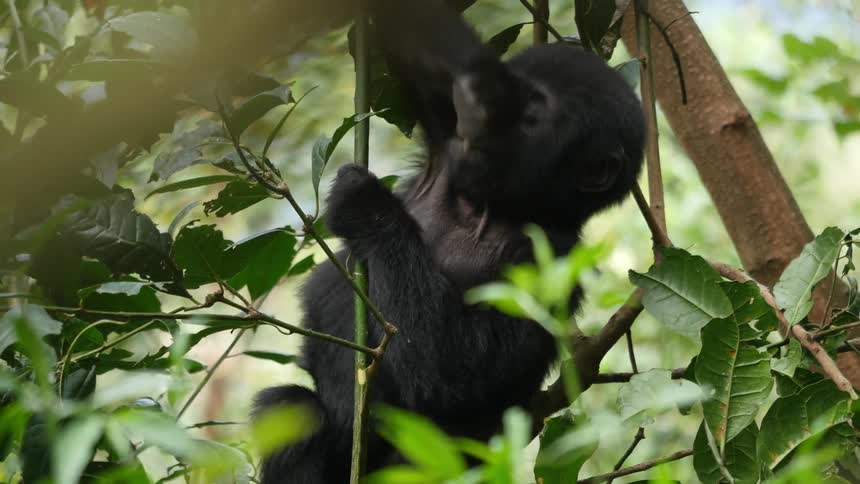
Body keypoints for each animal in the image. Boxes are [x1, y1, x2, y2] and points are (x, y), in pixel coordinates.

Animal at [255, 0, 644, 482]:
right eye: (511, 85)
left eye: (533, 113)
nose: (477, 100)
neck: (493, 206)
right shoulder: (445, 139)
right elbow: (422, 38)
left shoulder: (549, 260)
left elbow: (446, 373)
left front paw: (368, 207)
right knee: (289, 406)